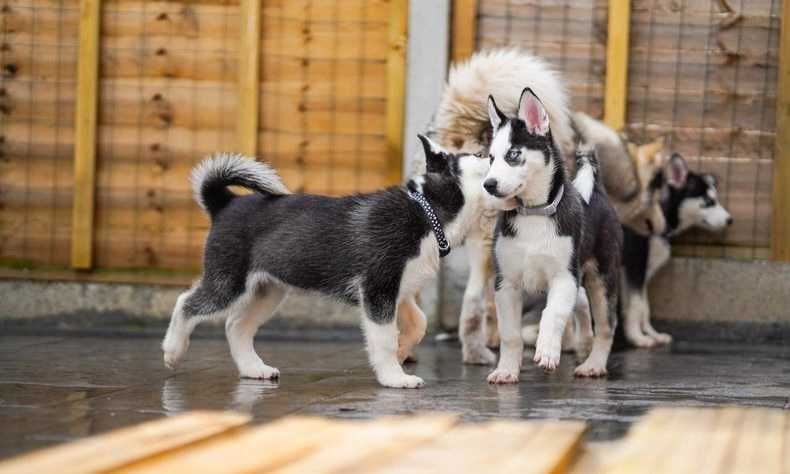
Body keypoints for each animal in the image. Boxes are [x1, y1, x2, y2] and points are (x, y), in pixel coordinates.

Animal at [162, 135, 492, 386]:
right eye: (480, 155)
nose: (494, 150)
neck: (427, 213)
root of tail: (225, 203)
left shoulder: (398, 290)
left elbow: (418, 323)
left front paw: (401, 352)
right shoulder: (378, 289)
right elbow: (384, 337)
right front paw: (394, 377)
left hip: (267, 290)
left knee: (235, 326)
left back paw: (254, 369)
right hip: (228, 281)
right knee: (186, 303)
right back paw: (173, 350)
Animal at [482, 87, 624, 382]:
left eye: (514, 154)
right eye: (491, 158)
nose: (488, 184)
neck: (534, 213)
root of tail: (598, 191)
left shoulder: (564, 277)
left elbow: (553, 313)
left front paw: (547, 350)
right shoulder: (506, 283)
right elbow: (510, 334)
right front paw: (506, 370)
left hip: (602, 278)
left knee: (607, 326)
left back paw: (593, 364)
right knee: (582, 309)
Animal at [624, 154, 736, 346]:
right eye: (709, 202)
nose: (730, 220)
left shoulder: (639, 272)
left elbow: (644, 308)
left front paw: (652, 334)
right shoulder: (634, 266)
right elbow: (636, 305)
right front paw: (638, 338)